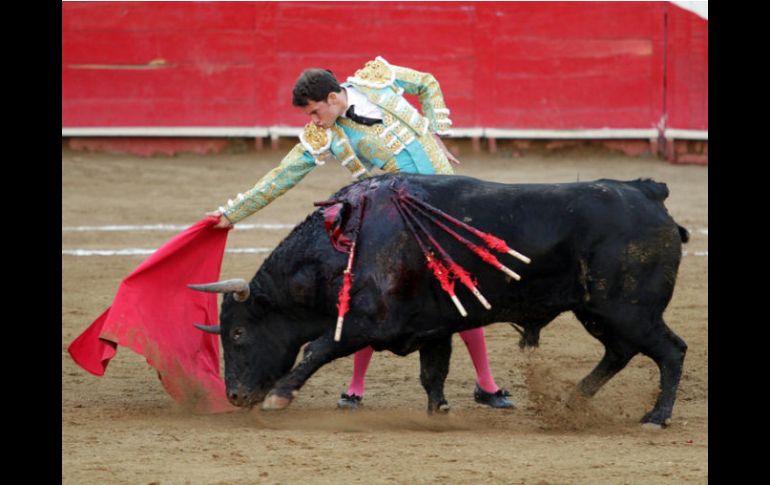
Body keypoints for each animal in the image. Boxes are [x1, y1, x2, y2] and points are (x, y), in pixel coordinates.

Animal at [195, 172, 688, 426]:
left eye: (237, 333)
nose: (234, 395)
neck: (347, 239)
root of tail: (648, 191)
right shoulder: (433, 326)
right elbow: (433, 373)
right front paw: (439, 413)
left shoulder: (368, 322)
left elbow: (319, 347)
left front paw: (280, 396)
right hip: (600, 312)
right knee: (620, 352)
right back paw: (573, 399)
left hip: (629, 309)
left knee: (670, 350)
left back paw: (655, 416)